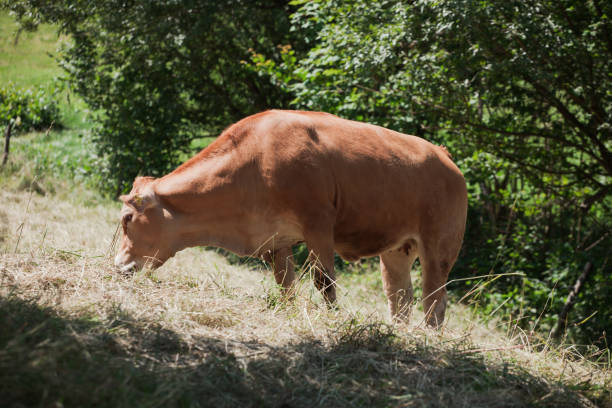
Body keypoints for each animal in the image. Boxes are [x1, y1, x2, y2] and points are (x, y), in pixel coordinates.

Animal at [116, 110, 468, 326]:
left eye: (127, 219)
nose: (119, 266)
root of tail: (443, 155)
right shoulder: (275, 240)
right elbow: (286, 284)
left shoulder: (318, 225)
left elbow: (324, 281)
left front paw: (331, 320)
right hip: (397, 251)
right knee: (400, 297)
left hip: (439, 248)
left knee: (435, 300)